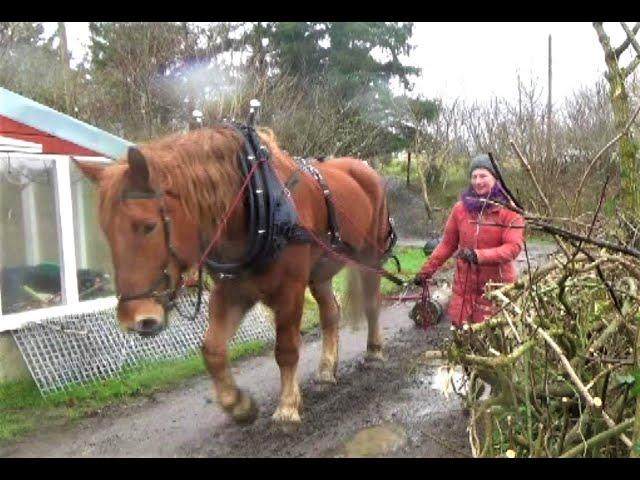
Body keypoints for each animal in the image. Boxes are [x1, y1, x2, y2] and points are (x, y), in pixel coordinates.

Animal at [75, 124, 396, 428]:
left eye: (148, 225)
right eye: (105, 231)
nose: (134, 319)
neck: (257, 201)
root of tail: (364, 168)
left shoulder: (290, 290)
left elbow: (286, 349)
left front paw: (287, 406)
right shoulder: (233, 291)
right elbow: (212, 350)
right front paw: (238, 404)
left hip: (370, 257)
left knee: (371, 304)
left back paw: (374, 351)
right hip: (321, 272)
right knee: (331, 313)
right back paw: (327, 369)